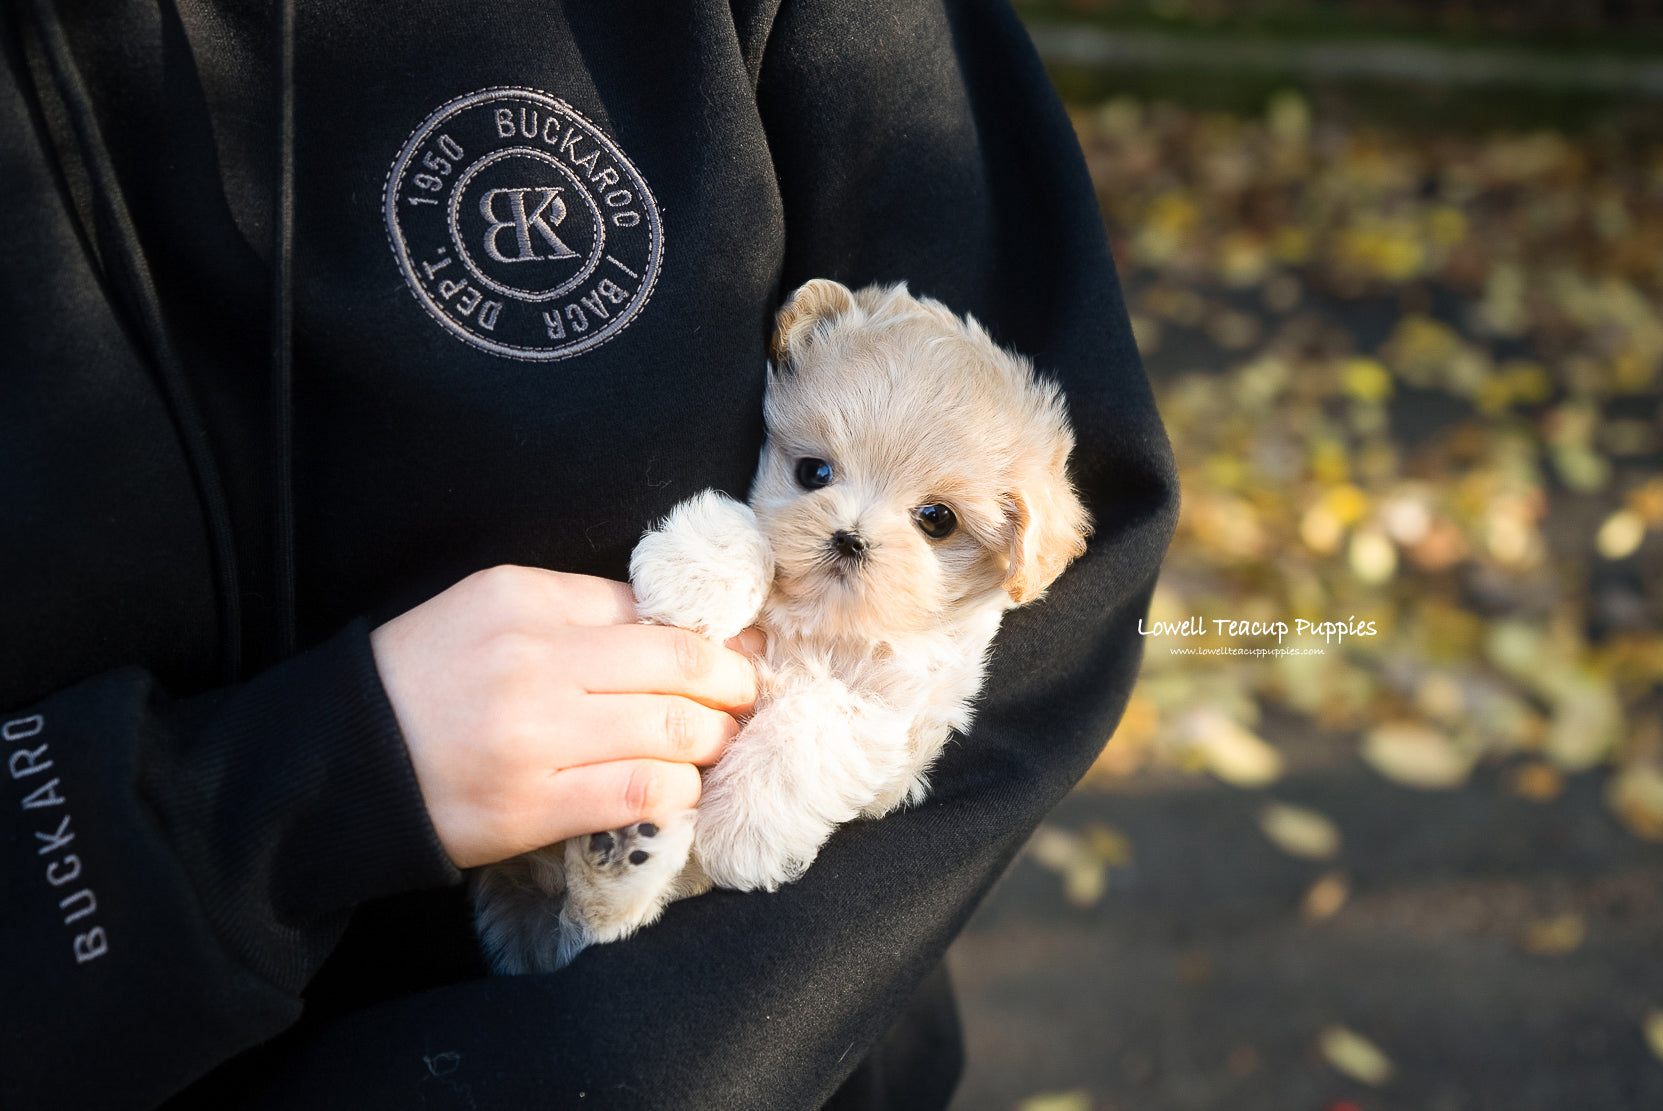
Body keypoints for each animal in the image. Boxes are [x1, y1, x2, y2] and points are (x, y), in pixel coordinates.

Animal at [472, 277, 1090, 971]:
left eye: (937, 519)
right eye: (813, 473)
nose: (848, 538)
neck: (823, 623)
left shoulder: (894, 718)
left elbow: (808, 721)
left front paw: (736, 830)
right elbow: (748, 528)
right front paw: (695, 578)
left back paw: (626, 855)